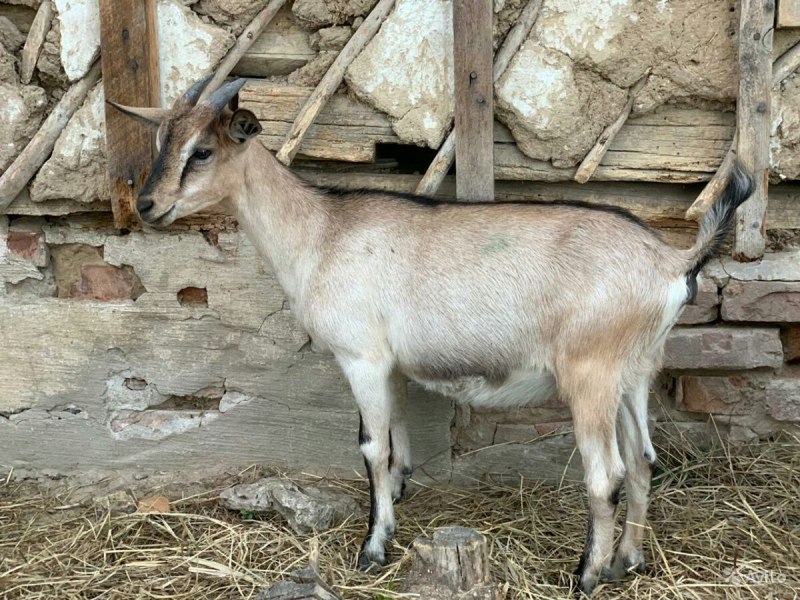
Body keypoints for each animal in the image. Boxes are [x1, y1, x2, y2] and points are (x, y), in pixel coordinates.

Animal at [111, 76, 754, 596]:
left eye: (202, 150)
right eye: (162, 141)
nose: (147, 204)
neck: (322, 231)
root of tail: (672, 261)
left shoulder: (361, 357)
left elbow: (372, 447)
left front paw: (373, 548)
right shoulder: (389, 364)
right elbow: (399, 443)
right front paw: (396, 505)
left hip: (590, 373)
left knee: (608, 474)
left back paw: (587, 576)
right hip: (636, 370)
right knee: (644, 460)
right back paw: (628, 562)